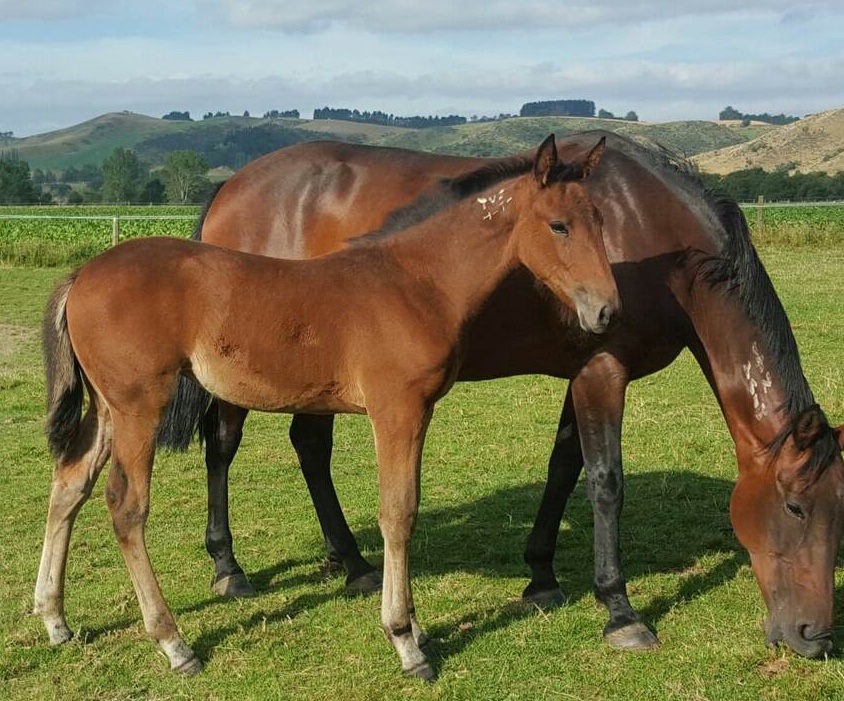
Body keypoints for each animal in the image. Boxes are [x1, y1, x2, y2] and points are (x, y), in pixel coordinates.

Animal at [34, 135, 619, 679]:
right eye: (559, 226)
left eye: (600, 219)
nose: (606, 310)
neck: (416, 281)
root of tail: (81, 276)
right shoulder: (397, 410)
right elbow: (398, 512)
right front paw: (406, 641)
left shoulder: (416, 412)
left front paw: (414, 630)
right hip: (139, 405)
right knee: (125, 505)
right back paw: (175, 643)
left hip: (107, 408)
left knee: (70, 481)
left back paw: (55, 619)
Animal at [167, 131, 844, 659]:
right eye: (795, 508)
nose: (814, 637)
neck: (654, 236)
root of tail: (232, 188)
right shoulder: (603, 369)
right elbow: (605, 482)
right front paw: (620, 611)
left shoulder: (581, 372)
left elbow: (564, 467)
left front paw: (541, 577)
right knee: (223, 446)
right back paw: (229, 568)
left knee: (308, 445)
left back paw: (354, 564)